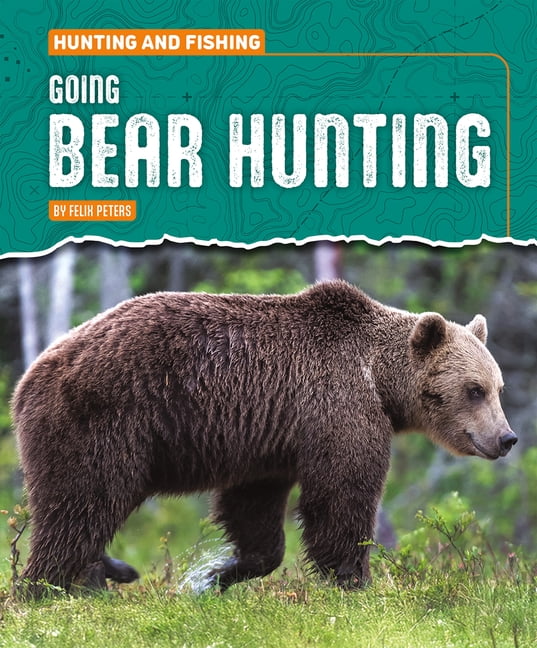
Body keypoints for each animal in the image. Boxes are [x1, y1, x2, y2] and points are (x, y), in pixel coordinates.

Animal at [11, 280, 516, 596]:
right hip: (102, 421)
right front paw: (356, 582)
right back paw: (48, 588)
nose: (506, 437)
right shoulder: (337, 407)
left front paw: (215, 575)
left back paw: (100, 575)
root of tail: (31, 373)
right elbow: (341, 497)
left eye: (498, 387)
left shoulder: (271, 439)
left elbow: (254, 514)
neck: (380, 382)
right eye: (474, 389)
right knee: (80, 502)